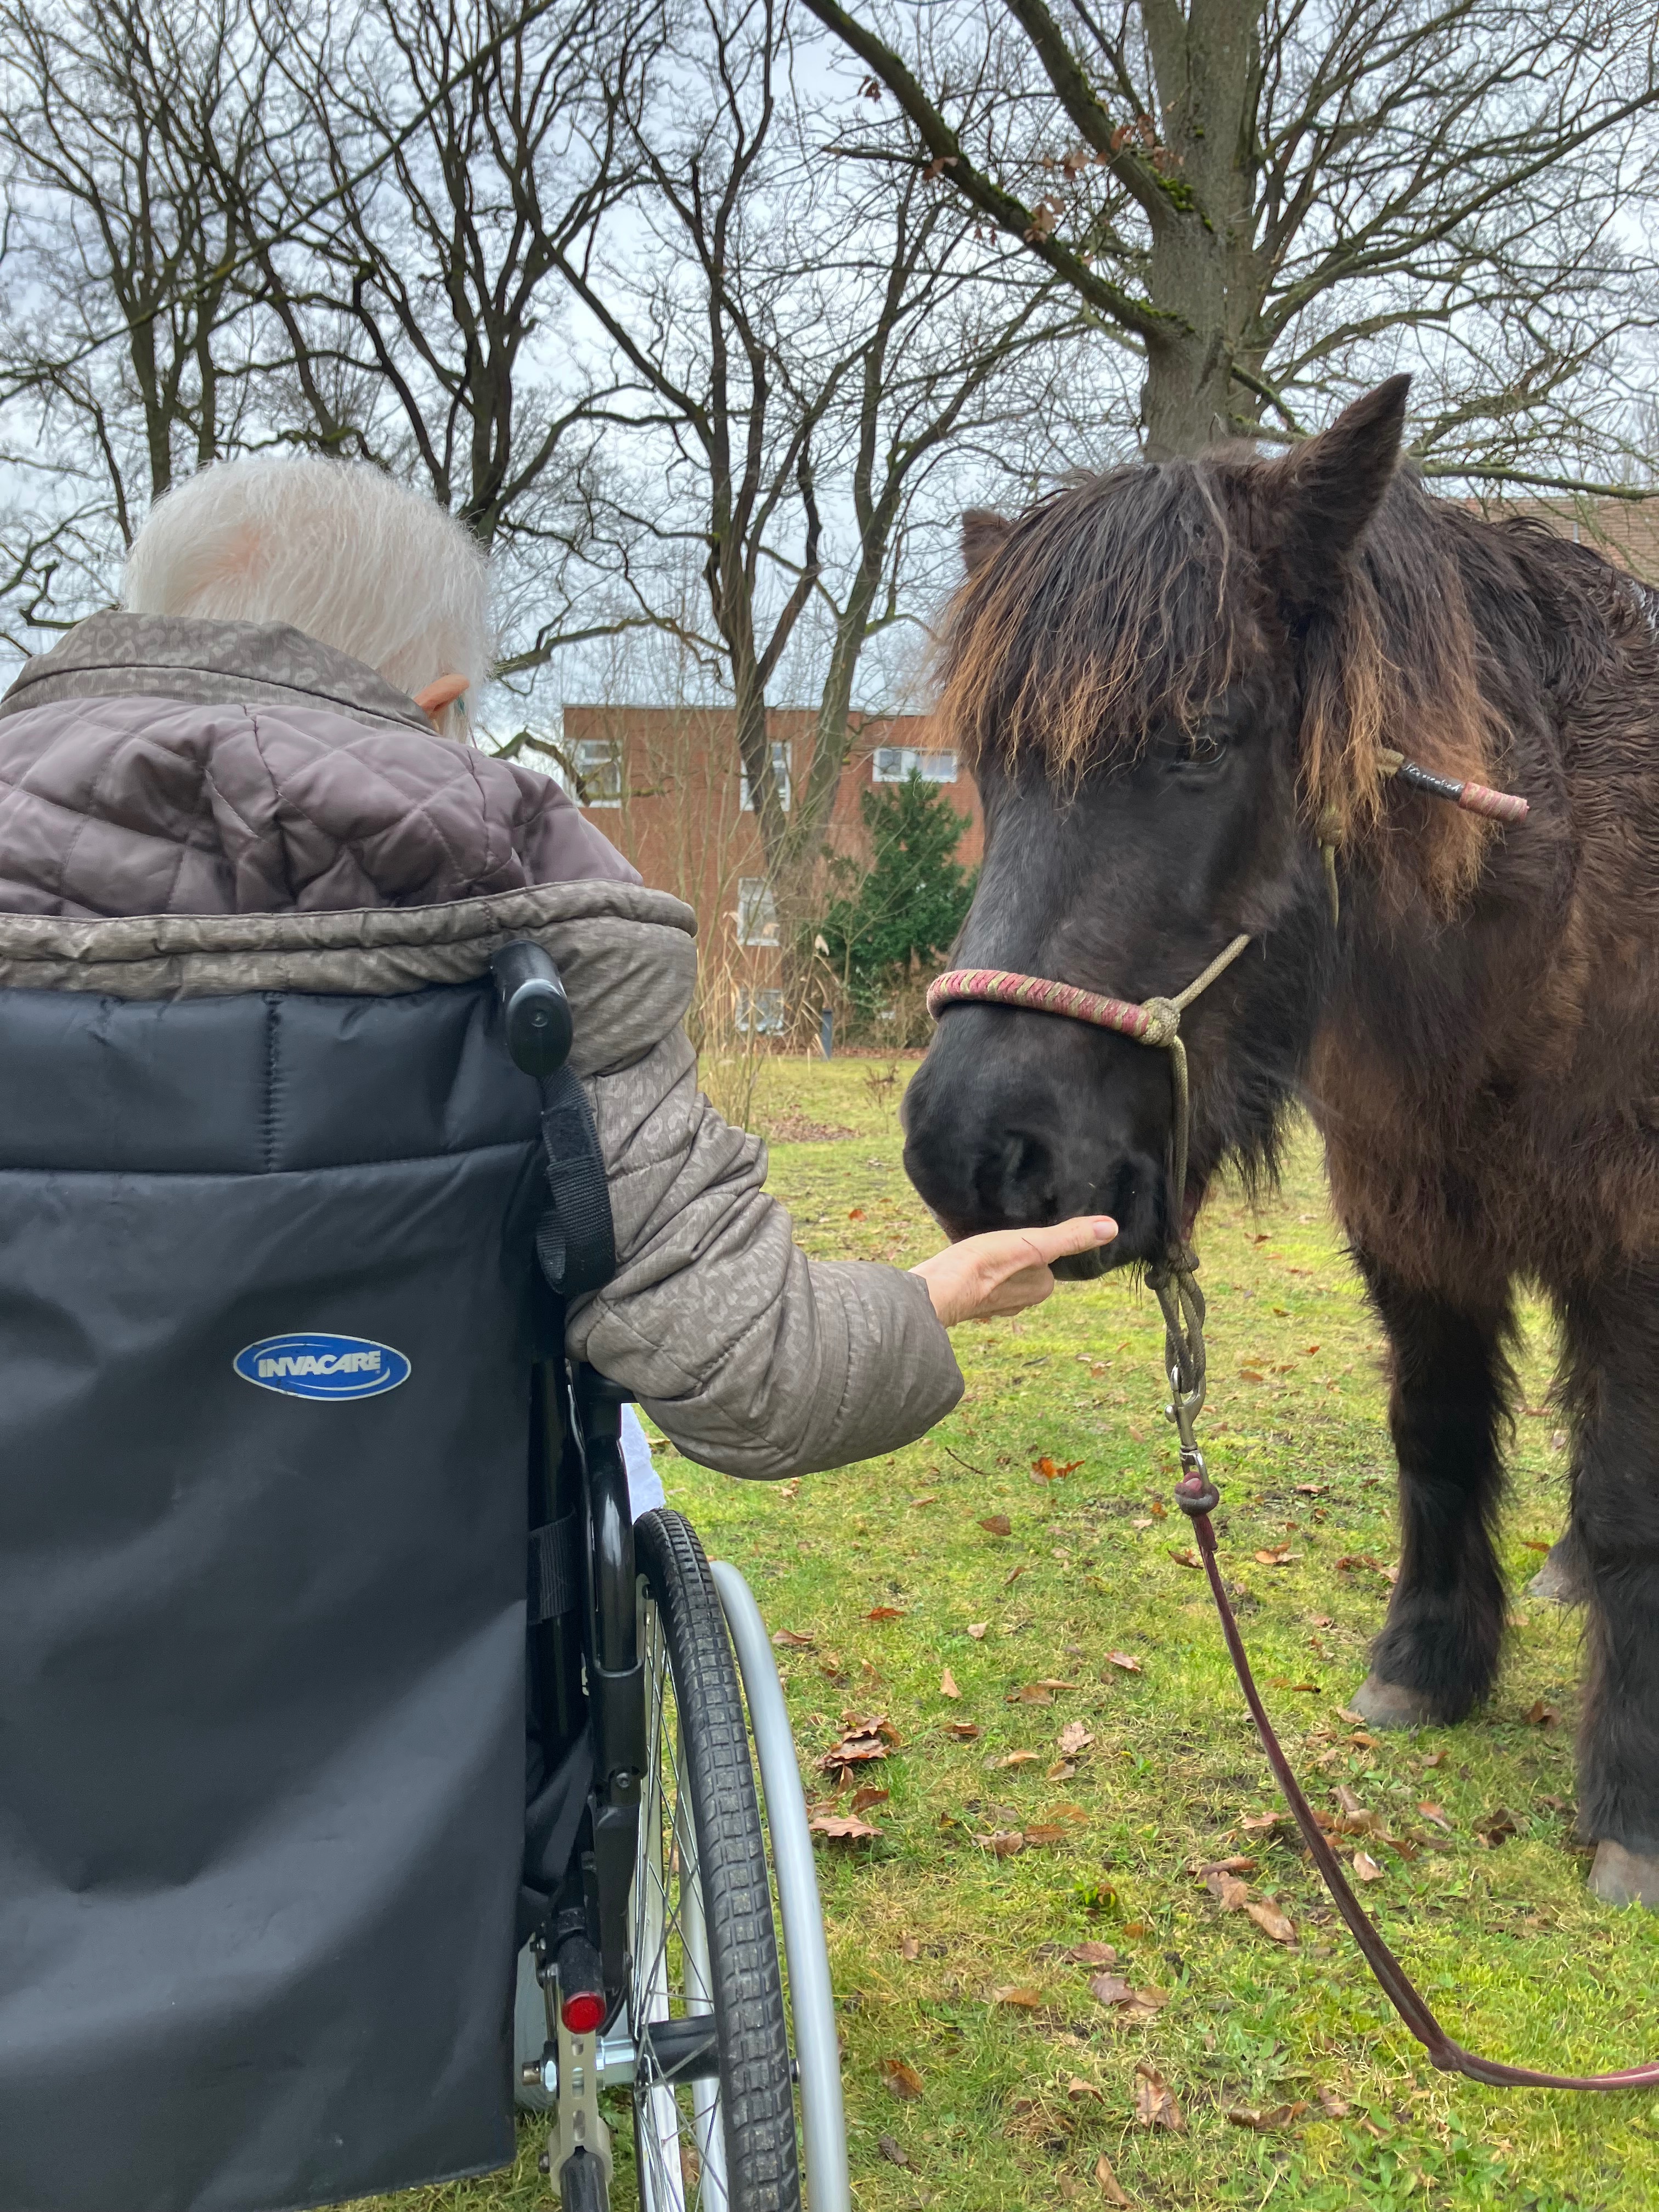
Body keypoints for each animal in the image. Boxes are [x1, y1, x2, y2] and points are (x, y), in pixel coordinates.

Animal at [901, 376, 1659, 1909]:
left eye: (1202, 738)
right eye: (993, 774)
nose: (970, 1154)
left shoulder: (1632, 1240)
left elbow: (1629, 1502)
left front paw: (1633, 1798)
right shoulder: (1413, 1216)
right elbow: (1436, 1431)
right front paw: (1429, 1667)